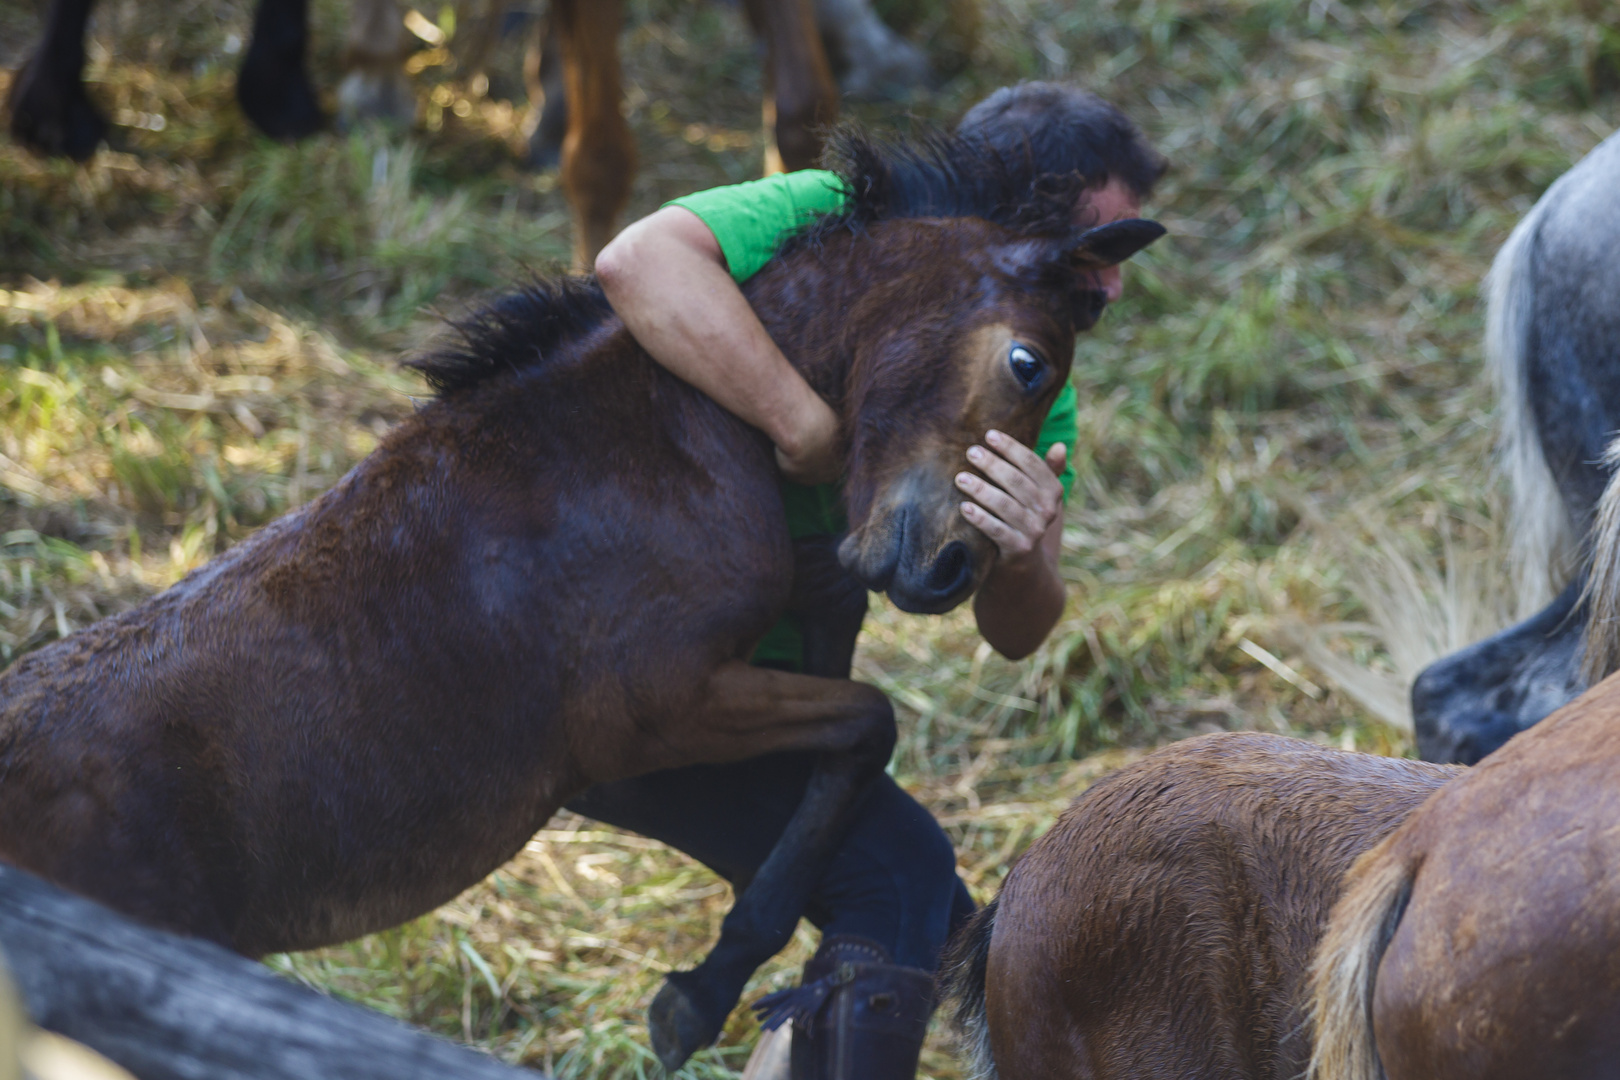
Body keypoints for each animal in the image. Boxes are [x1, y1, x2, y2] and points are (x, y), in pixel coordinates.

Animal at [0, 132, 1166, 1075]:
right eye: (1027, 361)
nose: (951, 571)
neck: (677, 432)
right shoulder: (649, 712)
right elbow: (869, 720)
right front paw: (701, 991)